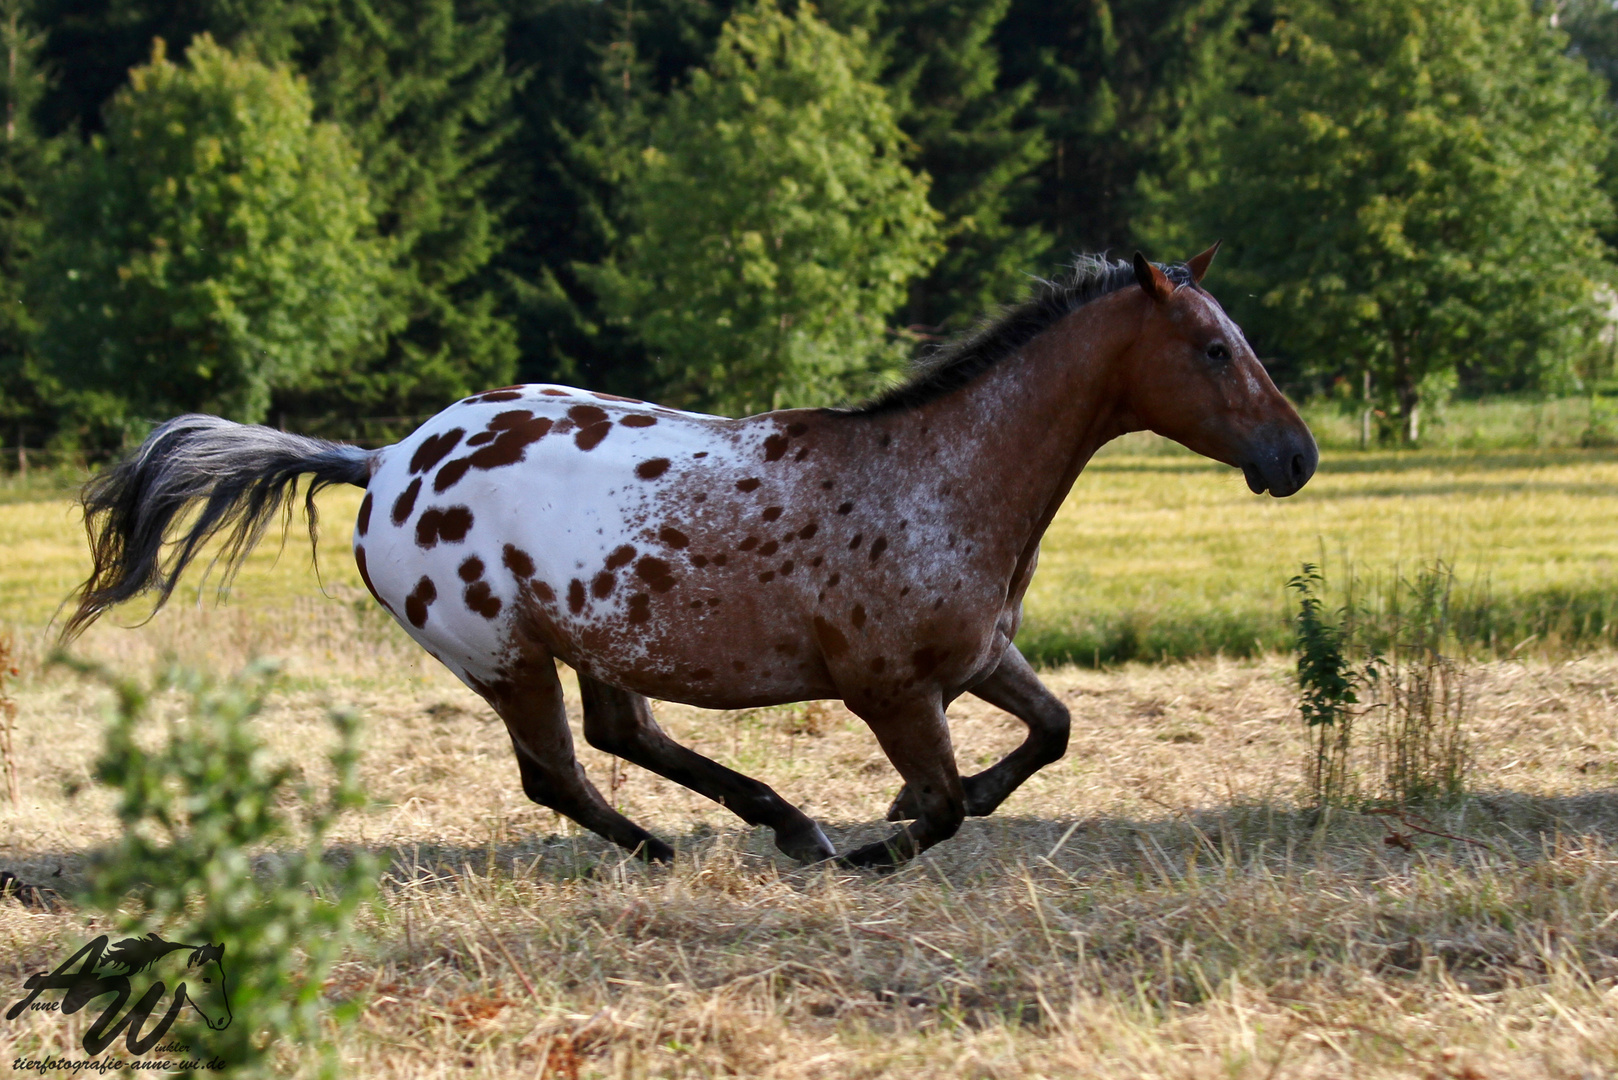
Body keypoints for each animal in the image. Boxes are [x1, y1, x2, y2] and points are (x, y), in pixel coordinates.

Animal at [69, 247, 1320, 867]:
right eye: (1213, 349)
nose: (1296, 455)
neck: (939, 474)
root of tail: (383, 460)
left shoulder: (975, 662)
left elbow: (1048, 736)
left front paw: (866, 826)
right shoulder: (889, 689)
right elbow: (942, 801)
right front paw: (873, 847)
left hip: (593, 637)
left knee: (625, 735)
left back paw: (784, 822)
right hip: (503, 657)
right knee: (558, 772)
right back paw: (680, 849)